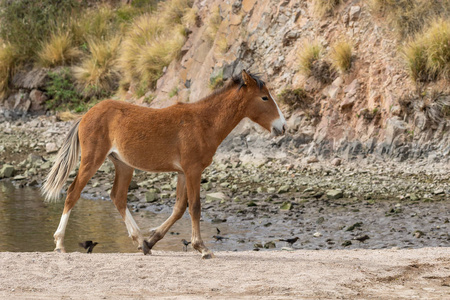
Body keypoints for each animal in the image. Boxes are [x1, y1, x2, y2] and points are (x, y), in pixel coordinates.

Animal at [41, 70, 284, 258]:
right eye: (264, 98)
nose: (282, 127)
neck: (203, 122)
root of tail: (85, 115)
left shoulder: (183, 173)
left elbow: (179, 208)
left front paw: (152, 241)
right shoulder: (193, 170)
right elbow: (195, 207)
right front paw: (202, 248)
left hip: (123, 165)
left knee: (117, 197)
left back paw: (140, 241)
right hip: (92, 159)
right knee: (73, 192)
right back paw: (59, 243)